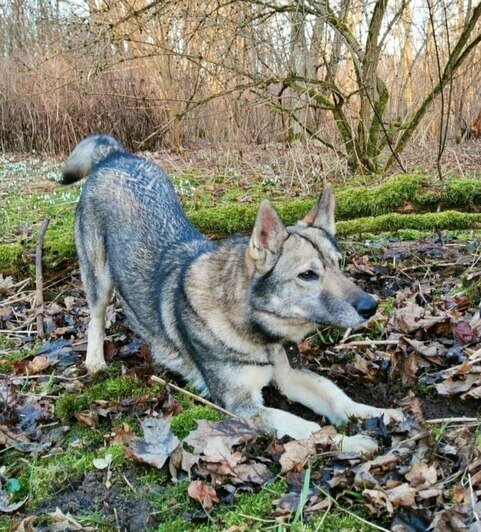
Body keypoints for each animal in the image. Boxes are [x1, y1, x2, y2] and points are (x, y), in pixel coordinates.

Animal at [62, 135, 404, 450]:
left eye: (339, 264)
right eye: (307, 275)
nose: (371, 306)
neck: (256, 329)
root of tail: (114, 156)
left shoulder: (289, 375)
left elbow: (336, 398)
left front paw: (378, 414)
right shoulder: (243, 406)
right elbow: (310, 428)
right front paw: (350, 442)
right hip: (98, 280)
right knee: (95, 317)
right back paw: (95, 360)